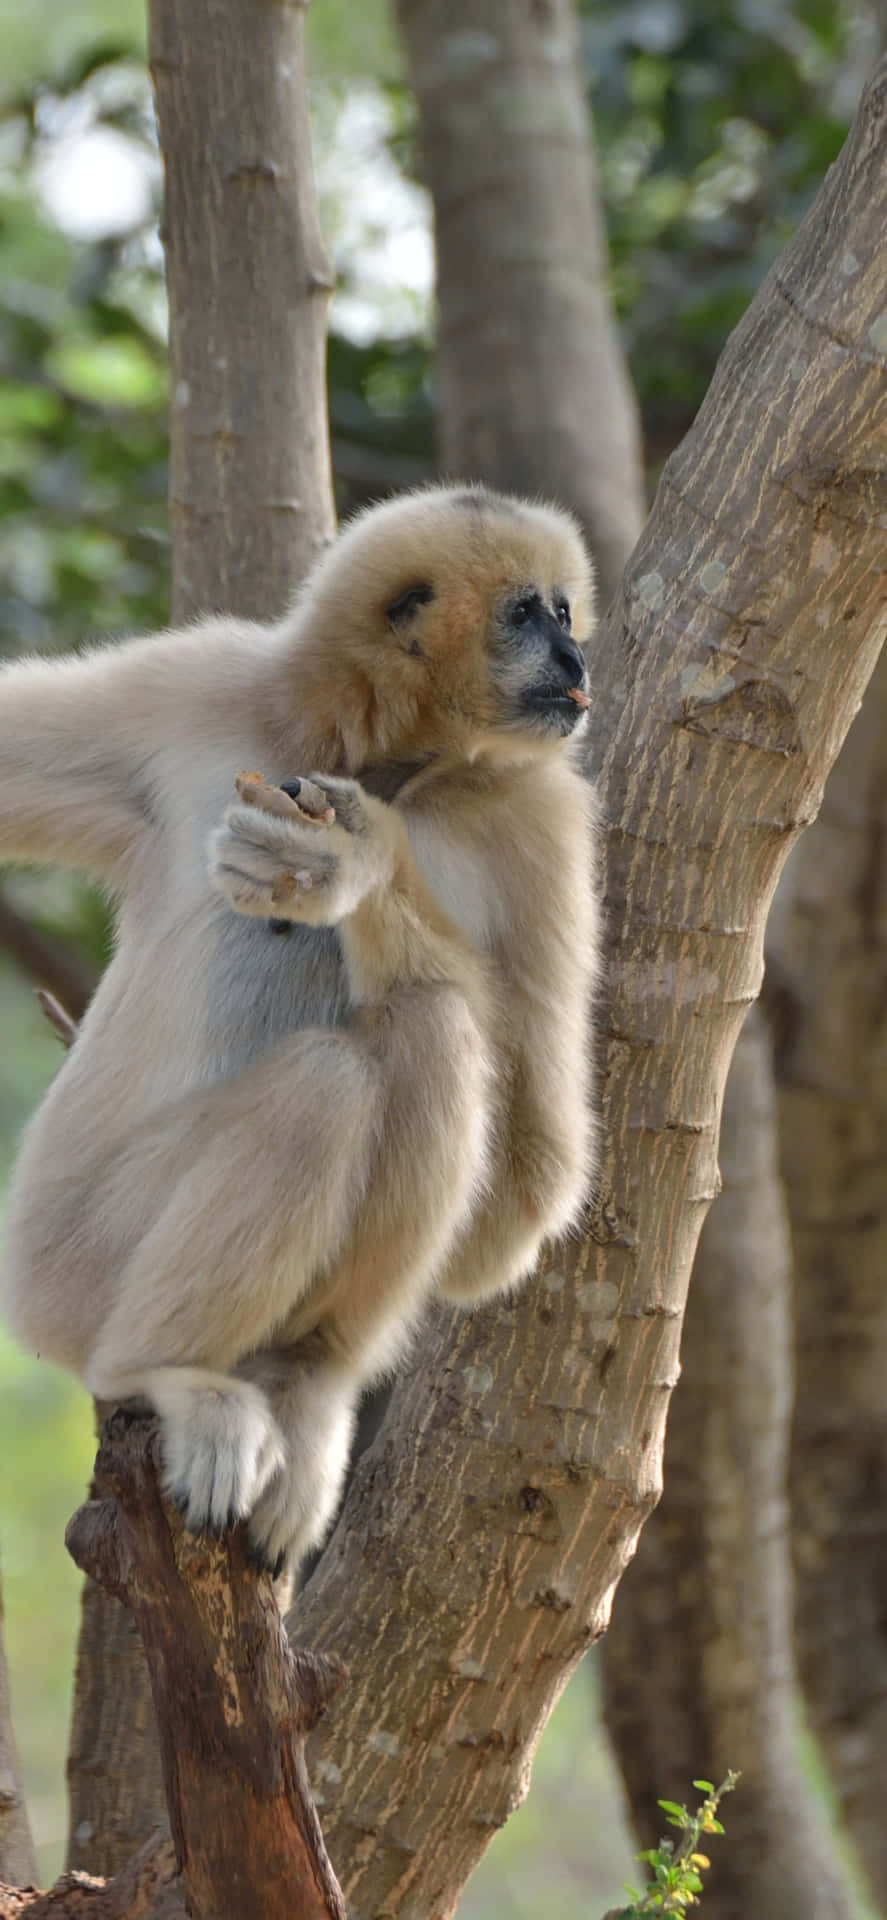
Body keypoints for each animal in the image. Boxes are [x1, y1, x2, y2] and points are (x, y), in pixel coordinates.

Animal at [0, 483, 599, 1577]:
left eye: (564, 611)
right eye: (526, 616)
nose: (574, 659)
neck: (368, 754)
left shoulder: (541, 812)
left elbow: (524, 1193)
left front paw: (353, 858)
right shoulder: (189, 682)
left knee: (429, 1028)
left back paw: (308, 1388)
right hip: (69, 1269)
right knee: (328, 1082)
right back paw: (164, 1371)